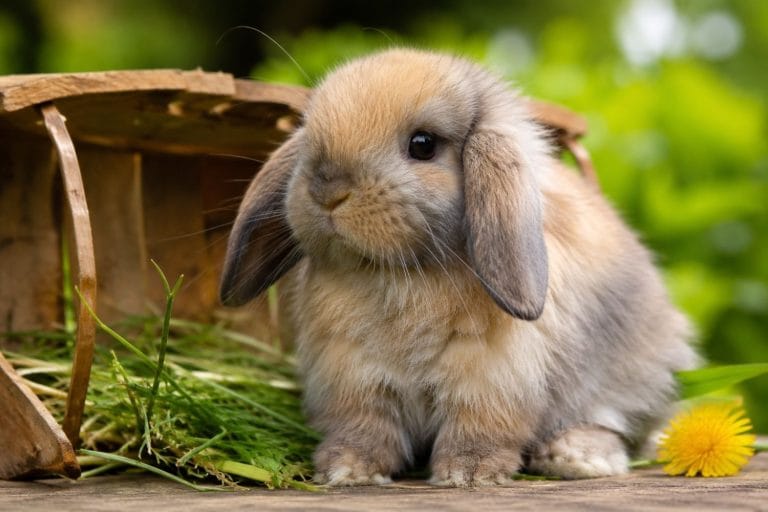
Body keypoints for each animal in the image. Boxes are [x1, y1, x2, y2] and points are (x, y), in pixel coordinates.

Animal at [220, 48, 698, 487]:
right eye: (309, 135)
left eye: (423, 144)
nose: (327, 189)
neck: (399, 273)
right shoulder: (352, 377)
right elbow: (364, 428)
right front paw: (348, 469)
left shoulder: (490, 378)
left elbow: (479, 427)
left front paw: (468, 474)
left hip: (626, 377)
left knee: (616, 424)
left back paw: (575, 458)